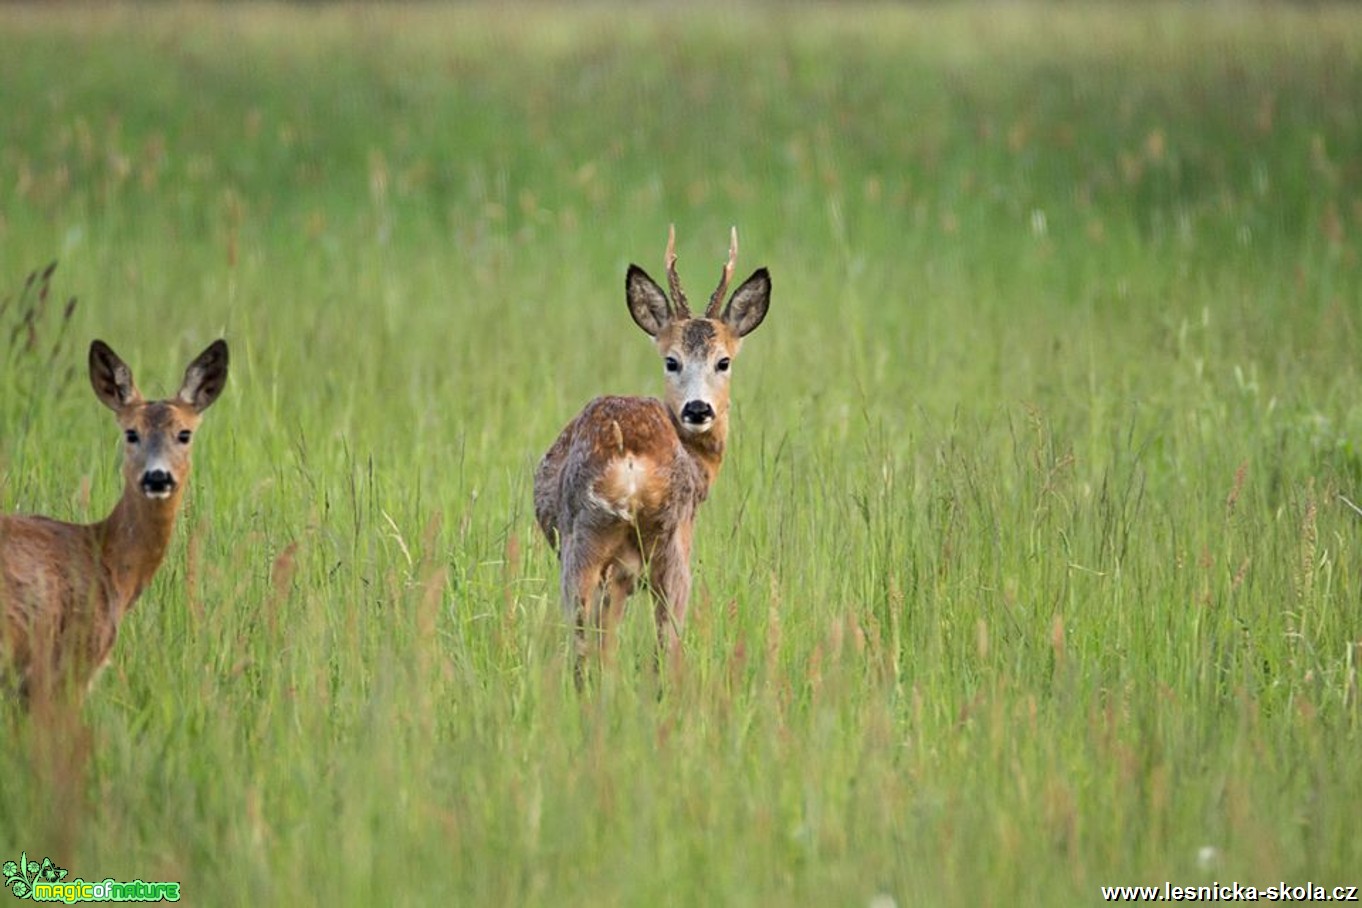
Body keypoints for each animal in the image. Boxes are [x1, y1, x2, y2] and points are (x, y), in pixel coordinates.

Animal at [528, 227, 768, 680]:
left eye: (723, 361)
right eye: (671, 361)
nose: (698, 409)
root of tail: (627, 453)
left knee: (592, 641)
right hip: (646, 543)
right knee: (658, 642)